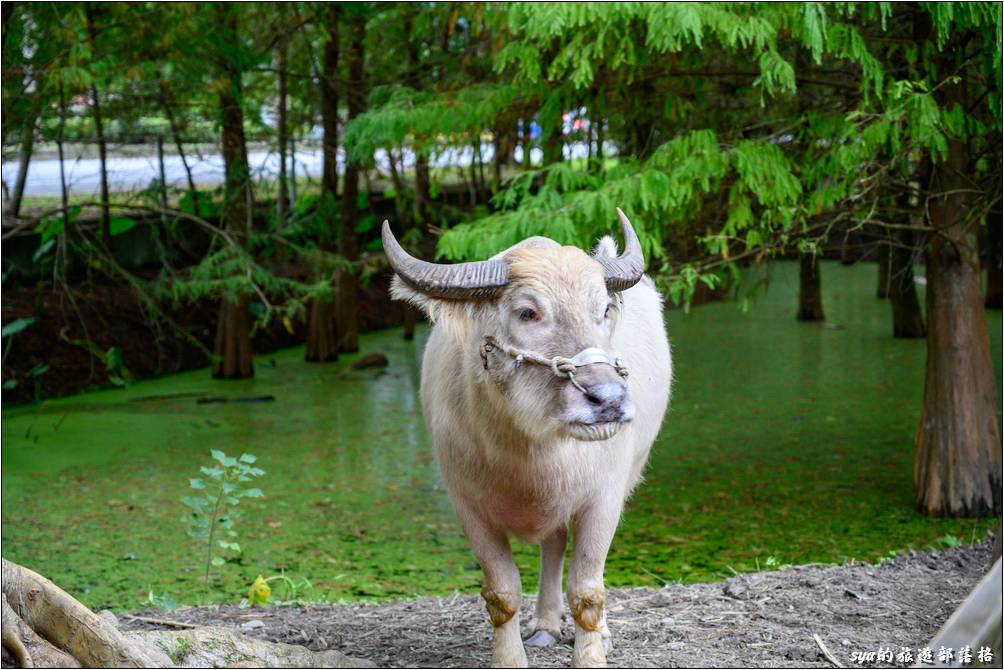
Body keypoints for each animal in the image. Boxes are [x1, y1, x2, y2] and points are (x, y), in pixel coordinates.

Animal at [383, 211, 674, 666]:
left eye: (604, 308)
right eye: (527, 312)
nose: (608, 399)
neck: (531, 448)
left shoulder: (603, 499)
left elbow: (588, 592)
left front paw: (591, 654)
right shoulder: (468, 507)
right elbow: (502, 594)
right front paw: (510, 657)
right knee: (552, 548)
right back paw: (544, 626)